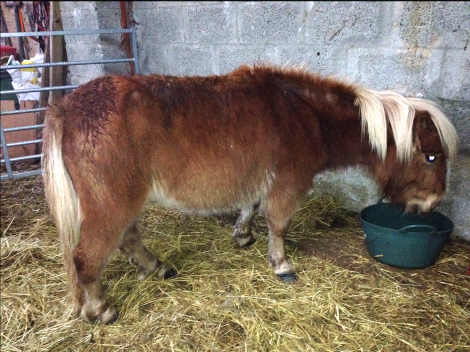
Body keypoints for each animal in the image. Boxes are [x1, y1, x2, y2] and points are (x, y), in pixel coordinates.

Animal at [42, 64, 458, 324]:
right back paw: (100, 310)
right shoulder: (288, 186)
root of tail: (66, 106)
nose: (432, 203)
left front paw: (243, 235)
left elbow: (252, 207)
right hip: (112, 203)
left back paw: (158, 268)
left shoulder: (262, 181)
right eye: (431, 155)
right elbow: (279, 225)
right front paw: (282, 265)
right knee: (87, 258)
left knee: (128, 241)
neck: (305, 115)